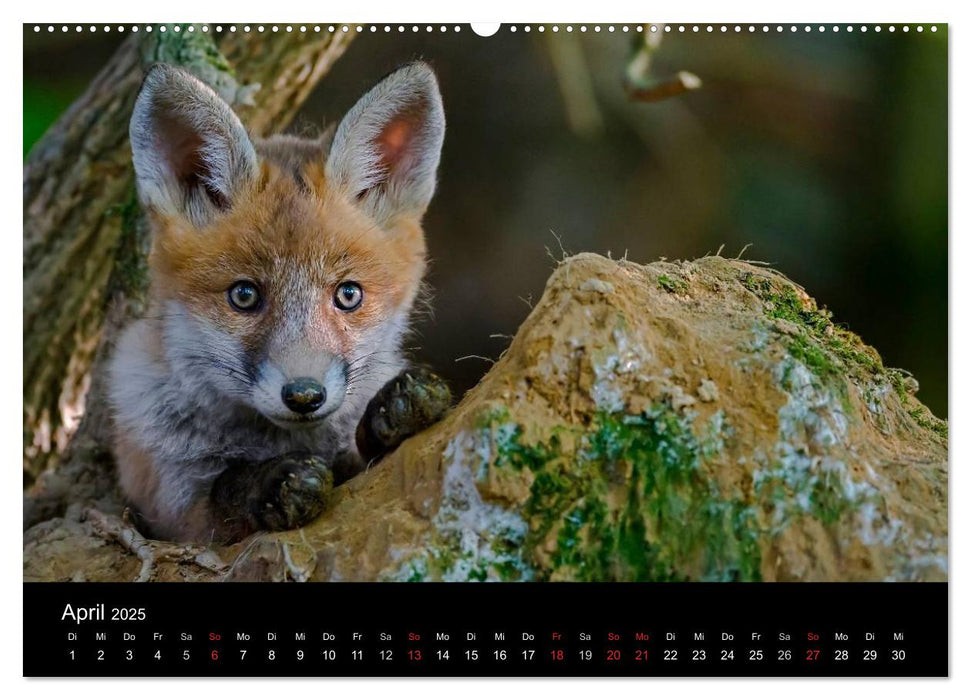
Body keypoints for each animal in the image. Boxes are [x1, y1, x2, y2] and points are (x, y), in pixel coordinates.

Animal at [107, 61, 452, 540]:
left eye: (348, 295)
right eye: (244, 295)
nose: (304, 396)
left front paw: (392, 413)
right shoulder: (171, 510)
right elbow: (225, 493)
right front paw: (273, 483)